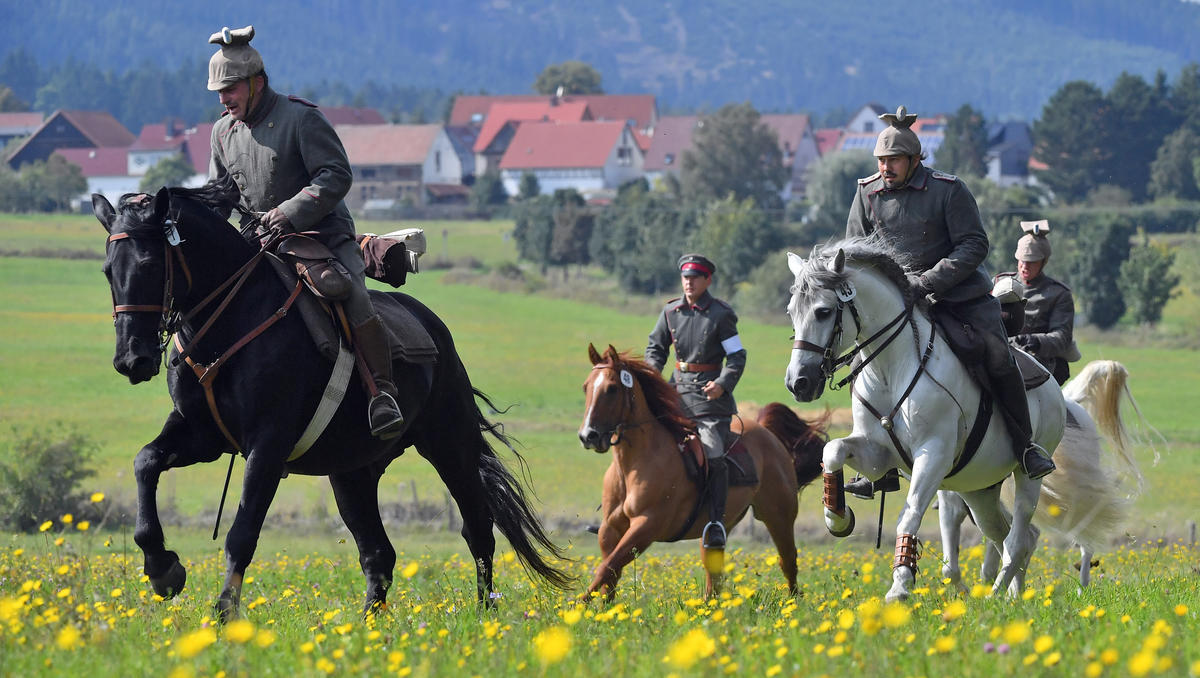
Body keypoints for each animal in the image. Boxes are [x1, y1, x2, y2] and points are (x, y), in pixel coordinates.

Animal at [93, 178, 571, 619]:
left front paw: (226, 612)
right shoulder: (201, 436)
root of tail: (435, 330)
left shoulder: (267, 446)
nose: (132, 358)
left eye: (151, 263)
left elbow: (242, 533)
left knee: (478, 529)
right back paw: (368, 629)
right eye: (108, 271)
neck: (229, 321)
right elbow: (145, 463)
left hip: (449, 447)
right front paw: (162, 569)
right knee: (378, 553)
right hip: (352, 473)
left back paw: (484, 616)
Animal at [578, 343, 825, 597]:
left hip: (778, 517)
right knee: (714, 576)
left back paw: (792, 601)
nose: (588, 436)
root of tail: (767, 433)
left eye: (611, 389)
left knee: (788, 562)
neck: (632, 466)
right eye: (586, 387)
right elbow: (609, 574)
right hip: (719, 528)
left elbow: (606, 568)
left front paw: (578, 603)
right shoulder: (610, 529)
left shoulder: (646, 525)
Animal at [782, 240, 1128, 600]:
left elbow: (910, 514)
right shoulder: (877, 454)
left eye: (823, 311)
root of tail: (1057, 392)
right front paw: (837, 517)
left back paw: (996, 595)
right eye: (792, 312)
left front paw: (900, 585)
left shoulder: (933, 455)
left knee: (1018, 538)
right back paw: (1013, 595)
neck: (892, 369)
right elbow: (833, 450)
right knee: (1011, 535)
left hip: (1026, 476)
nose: (798, 382)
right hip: (979, 489)